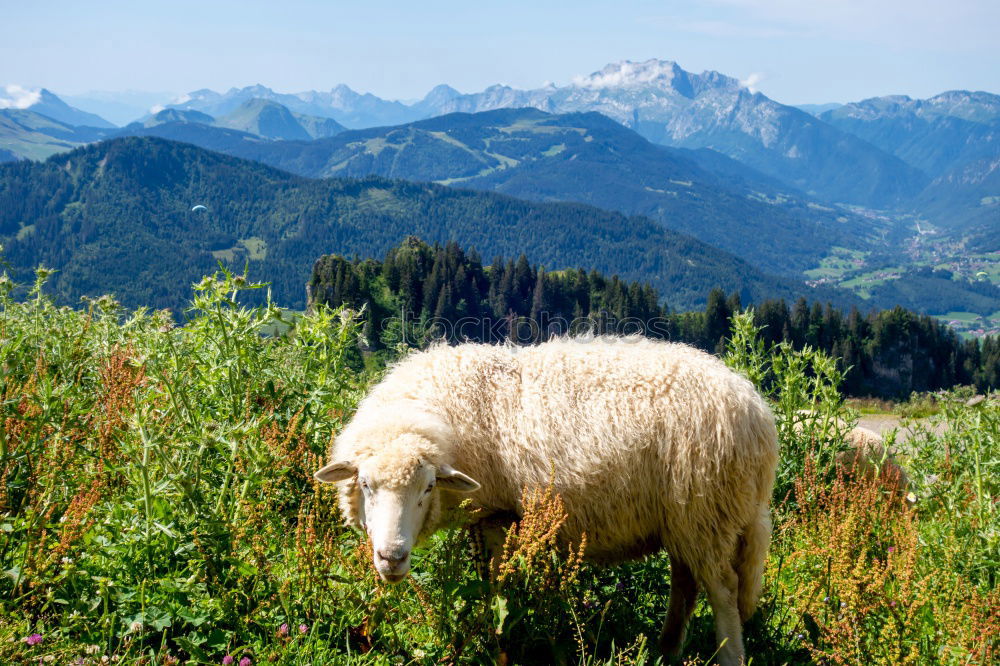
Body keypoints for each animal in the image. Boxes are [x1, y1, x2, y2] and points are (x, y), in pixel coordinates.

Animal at [316, 338, 776, 664]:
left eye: (428, 488)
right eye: (366, 485)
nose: (391, 558)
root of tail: (756, 411)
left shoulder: (498, 514)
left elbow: (495, 584)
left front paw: (498, 637)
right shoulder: (487, 516)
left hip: (707, 509)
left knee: (723, 589)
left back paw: (730, 657)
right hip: (685, 517)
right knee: (686, 581)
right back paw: (667, 650)